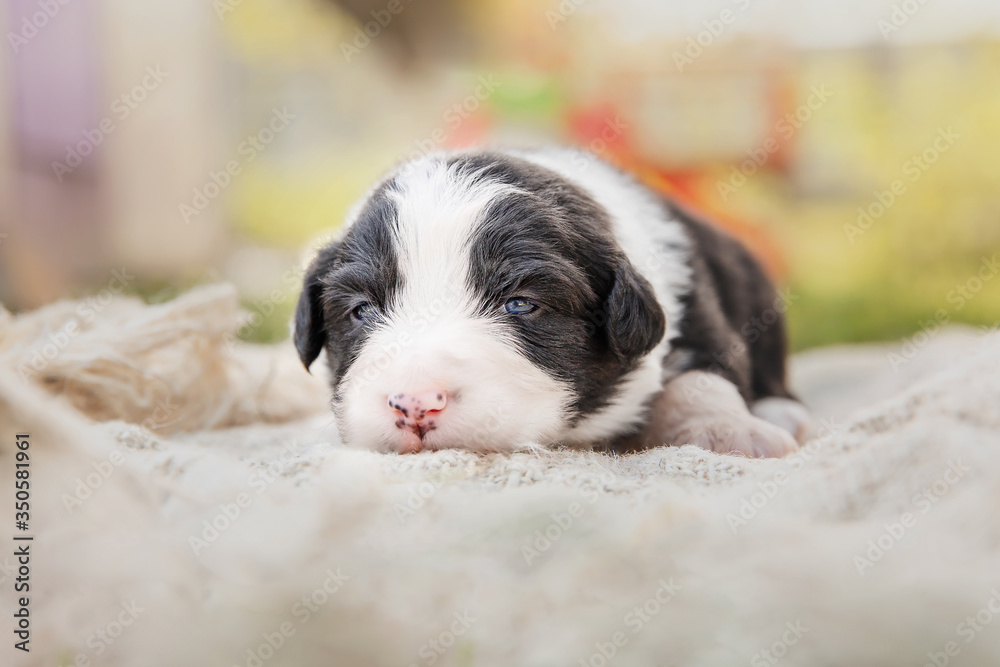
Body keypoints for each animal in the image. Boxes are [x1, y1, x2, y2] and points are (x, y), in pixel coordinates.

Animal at [292, 148, 808, 456]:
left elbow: (701, 380)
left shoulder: (696, 308)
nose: (415, 405)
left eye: (520, 305)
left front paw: (729, 433)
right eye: (361, 311)